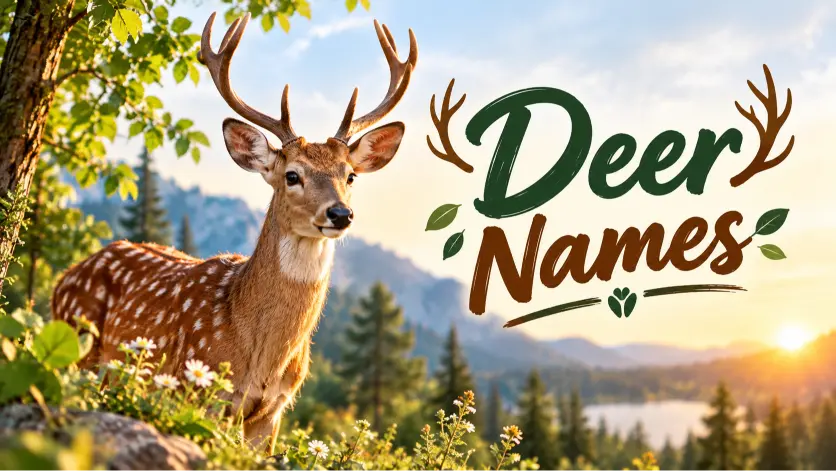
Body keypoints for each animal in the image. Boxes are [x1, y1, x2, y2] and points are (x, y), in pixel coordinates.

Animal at [51, 11, 417, 451]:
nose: (340, 214)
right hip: (79, 349)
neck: (259, 356)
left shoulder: (273, 412)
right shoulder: (202, 390)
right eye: (292, 175)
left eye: (350, 176)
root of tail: (62, 279)